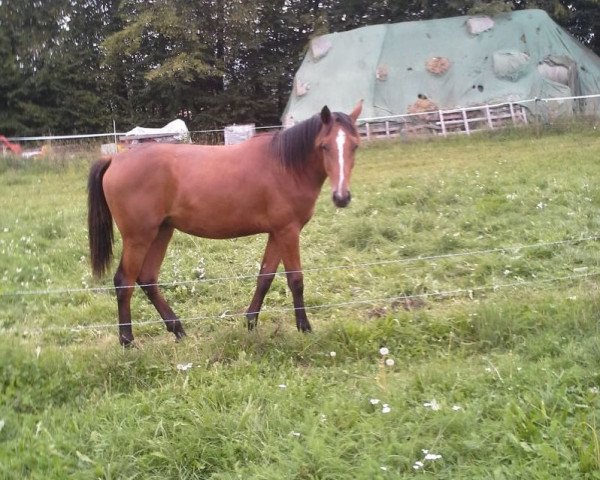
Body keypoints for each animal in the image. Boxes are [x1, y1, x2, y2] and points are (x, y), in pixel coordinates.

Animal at [88, 102, 360, 344]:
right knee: (124, 282)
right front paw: (304, 328)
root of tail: (115, 160)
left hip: (161, 232)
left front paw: (251, 323)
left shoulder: (276, 233)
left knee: (147, 278)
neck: (286, 165)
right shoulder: (288, 232)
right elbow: (295, 280)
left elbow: (265, 277)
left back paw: (178, 330)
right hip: (138, 237)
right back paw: (127, 340)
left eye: (355, 146)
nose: (342, 197)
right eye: (324, 146)